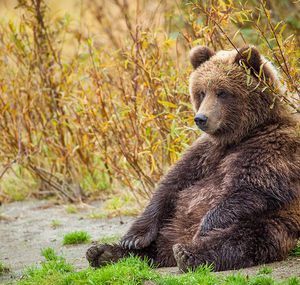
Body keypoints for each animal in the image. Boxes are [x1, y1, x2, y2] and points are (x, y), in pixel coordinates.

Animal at [85, 45, 298, 270]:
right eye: (201, 92)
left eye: (222, 92)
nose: (201, 118)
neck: (240, 135)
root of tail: (173, 241)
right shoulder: (205, 153)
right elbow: (170, 186)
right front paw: (133, 237)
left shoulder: (271, 147)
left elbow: (249, 188)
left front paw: (204, 228)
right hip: (172, 224)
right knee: (157, 243)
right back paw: (104, 252)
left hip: (280, 221)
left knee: (247, 236)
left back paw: (187, 253)